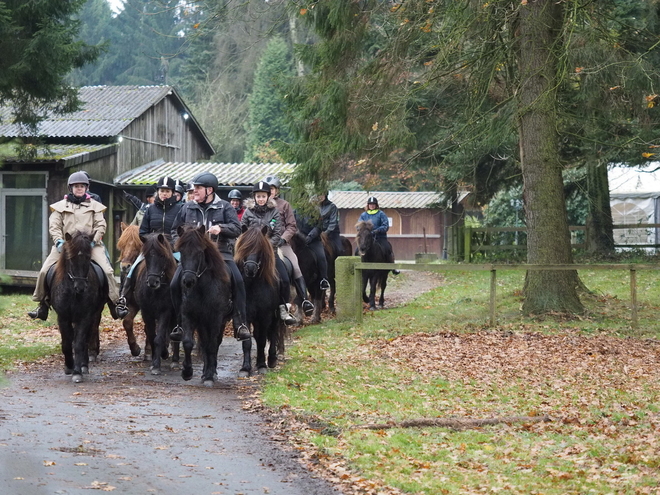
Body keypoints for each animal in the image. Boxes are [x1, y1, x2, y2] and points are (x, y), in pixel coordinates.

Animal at [49, 232, 106, 384]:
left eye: (88, 257)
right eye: (71, 258)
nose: (80, 287)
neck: (73, 293)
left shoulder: (85, 317)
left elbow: (79, 343)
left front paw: (77, 372)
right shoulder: (63, 317)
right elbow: (66, 343)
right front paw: (69, 366)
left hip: (94, 316)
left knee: (86, 339)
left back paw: (84, 365)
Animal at [133, 232, 179, 376]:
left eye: (162, 256)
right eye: (147, 256)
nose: (153, 282)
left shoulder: (165, 312)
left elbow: (159, 338)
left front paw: (157, 365)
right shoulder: (146, 313)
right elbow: (153, 336)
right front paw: (155, 359)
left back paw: (175, 361)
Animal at [173, 225, 232, 388]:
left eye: (199, 252)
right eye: (182, 251)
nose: (188, 281)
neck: (201, 288)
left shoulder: (215, 318)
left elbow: (212, 345)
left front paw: (210, 376)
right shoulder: (189, 315)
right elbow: (188, 343)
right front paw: (187, 372)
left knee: (214, 343)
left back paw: (210, 373)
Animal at [235, 225, 284, 376]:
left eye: (260, 249)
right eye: (245, 247)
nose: (250, 269)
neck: (252, 286)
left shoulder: (265, 315)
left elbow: (262, 339)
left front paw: (262, 365)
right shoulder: (245, 316)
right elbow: (247, 342)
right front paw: (245, 368)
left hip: (274, 316)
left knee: (273, 333)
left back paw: (272, 359)